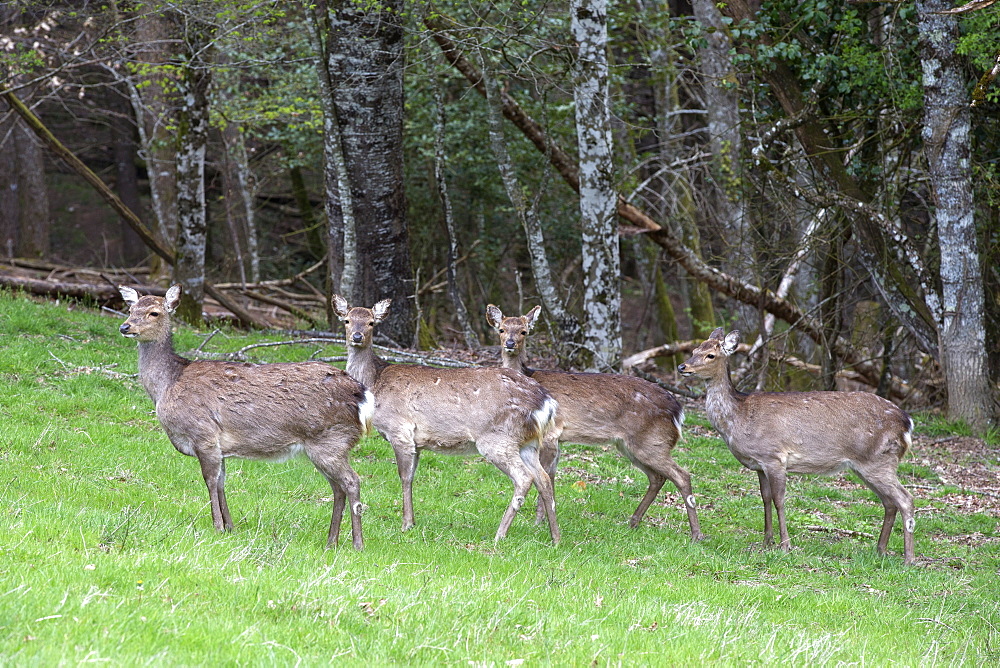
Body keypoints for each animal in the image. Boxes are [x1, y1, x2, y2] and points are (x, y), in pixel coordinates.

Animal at [118, 284, 376, 552]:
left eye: (154, 312)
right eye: (130, 309)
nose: (125, 327)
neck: (166, 386)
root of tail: (362, 395)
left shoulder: (203, 434)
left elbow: (209, 480)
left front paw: (217, 526)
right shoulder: (219, 447)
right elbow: (221, 482)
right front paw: (230, 527)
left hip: (331, 440)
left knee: (352, 482)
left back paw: (357, 544)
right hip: (327, 446)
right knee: (338, 488)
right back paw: (330, 541)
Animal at [334, 296, 564, 544]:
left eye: (371, 323)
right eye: (347, 320)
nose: (357, 336)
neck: (375, 384)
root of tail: (546, 402)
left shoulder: (399, 429)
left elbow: (403, 477)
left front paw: (405, 525)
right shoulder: (417, 442)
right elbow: (412, 477)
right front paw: (412, 522)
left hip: (498, 438)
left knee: (524, 477)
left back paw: (499, 534)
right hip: (528, 442)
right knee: (544, 479)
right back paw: (555, 538)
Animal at [484, 306, 704, 540]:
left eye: (524, 331)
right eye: (501, 329)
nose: (510, 343)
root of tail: (678, 411)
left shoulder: (551, 435)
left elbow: (544, 478)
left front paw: (537, 523)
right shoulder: (557, 440)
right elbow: (550, 476)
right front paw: (543, 522)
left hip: (652, 441)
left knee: (682, 475)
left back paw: (696, 535)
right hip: (631, 445)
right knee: (657, 477)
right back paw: (633, 522)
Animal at [676, 328, 916, 564]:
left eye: (710, 355)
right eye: (694, 350)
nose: (682, 366)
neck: (738, 418)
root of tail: (907, 423)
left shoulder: (774, 456)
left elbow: (779, 500)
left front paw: (785, 545)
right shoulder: (759, 464)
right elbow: (765, 498)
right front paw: (767, 541)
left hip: (879, 460)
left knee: (905, 499)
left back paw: (908, 559)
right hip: (867, 465)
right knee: (889, 502)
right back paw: (880, 550)